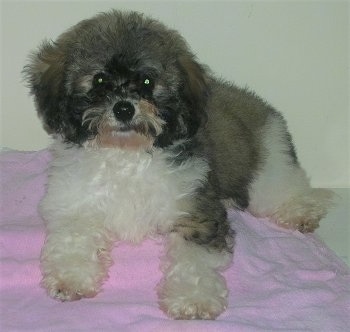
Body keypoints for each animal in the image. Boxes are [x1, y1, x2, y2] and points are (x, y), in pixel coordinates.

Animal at [23, 9, 334, 320]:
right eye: (99, 81)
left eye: (147, 82)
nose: (124, 108)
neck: (126, 154)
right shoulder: (74, 204)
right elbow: (73, 237)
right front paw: (71, 277)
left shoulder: (196, 210)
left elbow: (194, 258)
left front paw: (193, 298)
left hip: (268, 167)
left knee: (289, 188)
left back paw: (301, 210)